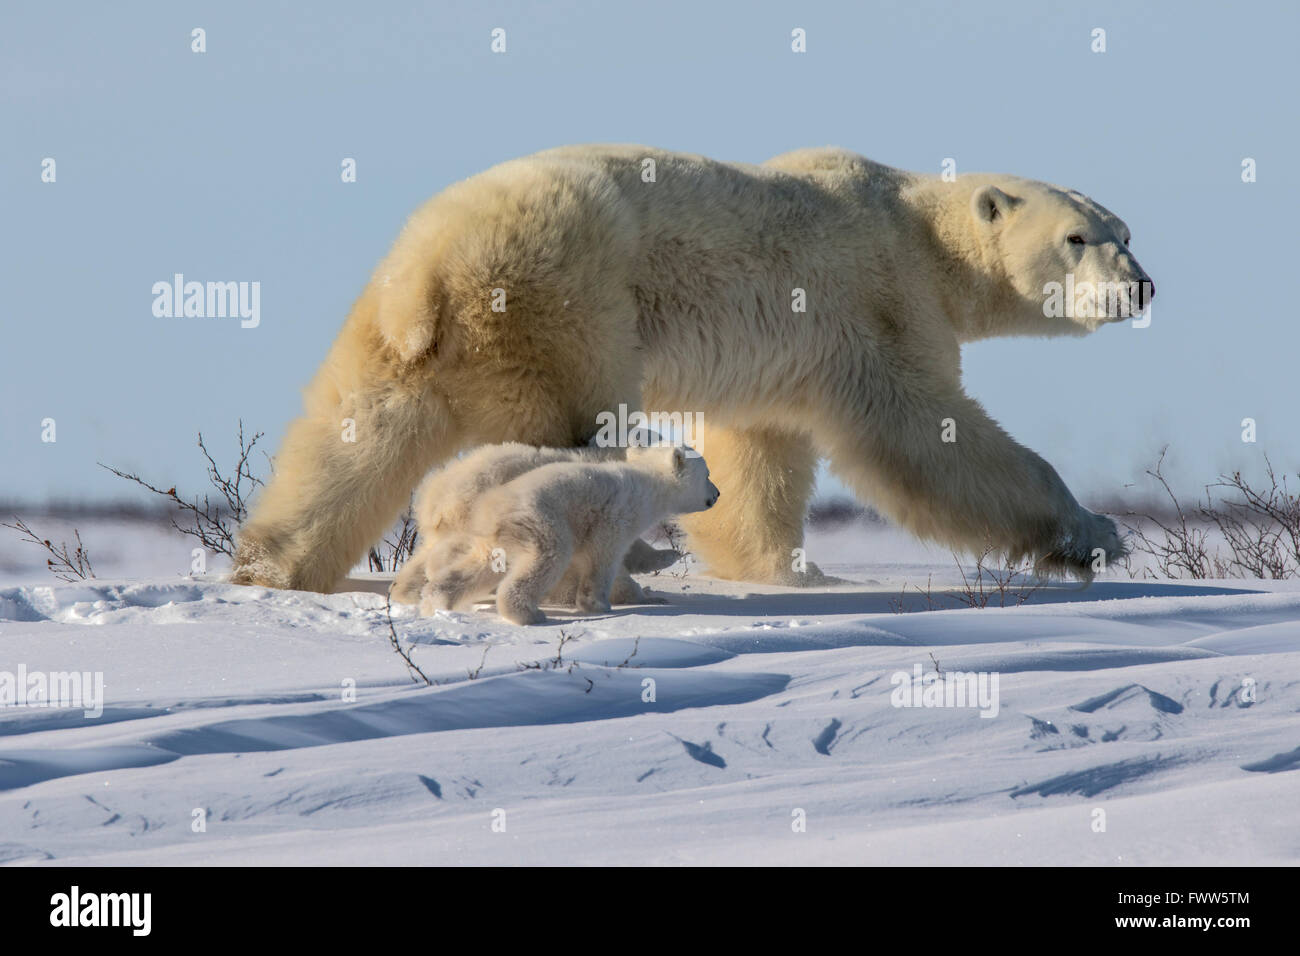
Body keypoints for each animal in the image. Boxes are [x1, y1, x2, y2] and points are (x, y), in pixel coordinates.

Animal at [228, 143, 1154, 595]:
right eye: (1078, 237)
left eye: (1126, 230)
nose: (1142, 286)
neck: (919, 232)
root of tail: (429, 272)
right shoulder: (879, 302)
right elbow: (926, 436)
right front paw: (1092, 536)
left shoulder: (792, 356)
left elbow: (763, 455)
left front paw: (786, 569)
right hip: (561, 299)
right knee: (572, 424)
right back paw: (633, 553)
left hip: (400, 334)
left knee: (353, 436)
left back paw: (274, 566)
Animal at [418, 442, 717, 624]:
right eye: (707, 475)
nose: (717, 495)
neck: (649, 485)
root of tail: (487, 508)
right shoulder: (614, 516)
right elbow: (603, 557)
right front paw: (597, 604)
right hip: (541, 522)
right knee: (548, 558)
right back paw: (528, 613)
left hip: (491, 540)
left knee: (480, 567)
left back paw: (438, 601)